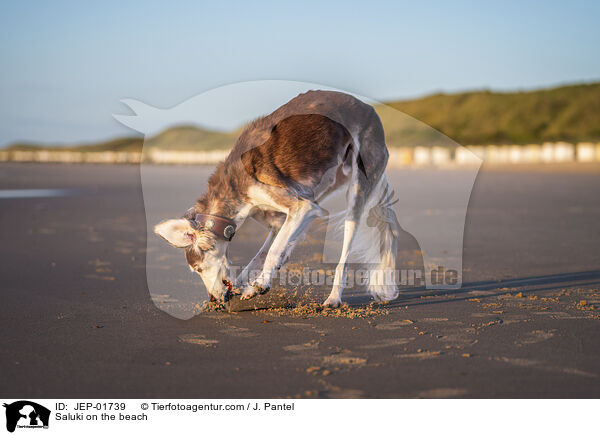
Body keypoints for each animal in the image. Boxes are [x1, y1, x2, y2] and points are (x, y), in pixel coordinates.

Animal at [154, 89, 398, 306]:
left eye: (198, 269)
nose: (213, 300)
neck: (233, 186)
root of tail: (370, 110)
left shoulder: (300, 207)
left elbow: (272, 251)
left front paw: (260, 284)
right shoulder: (279, 218)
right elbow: (262, 255)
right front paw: (248, 285)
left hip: (356, 190)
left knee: (344, 256)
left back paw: (334, 298)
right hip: (322, 184)